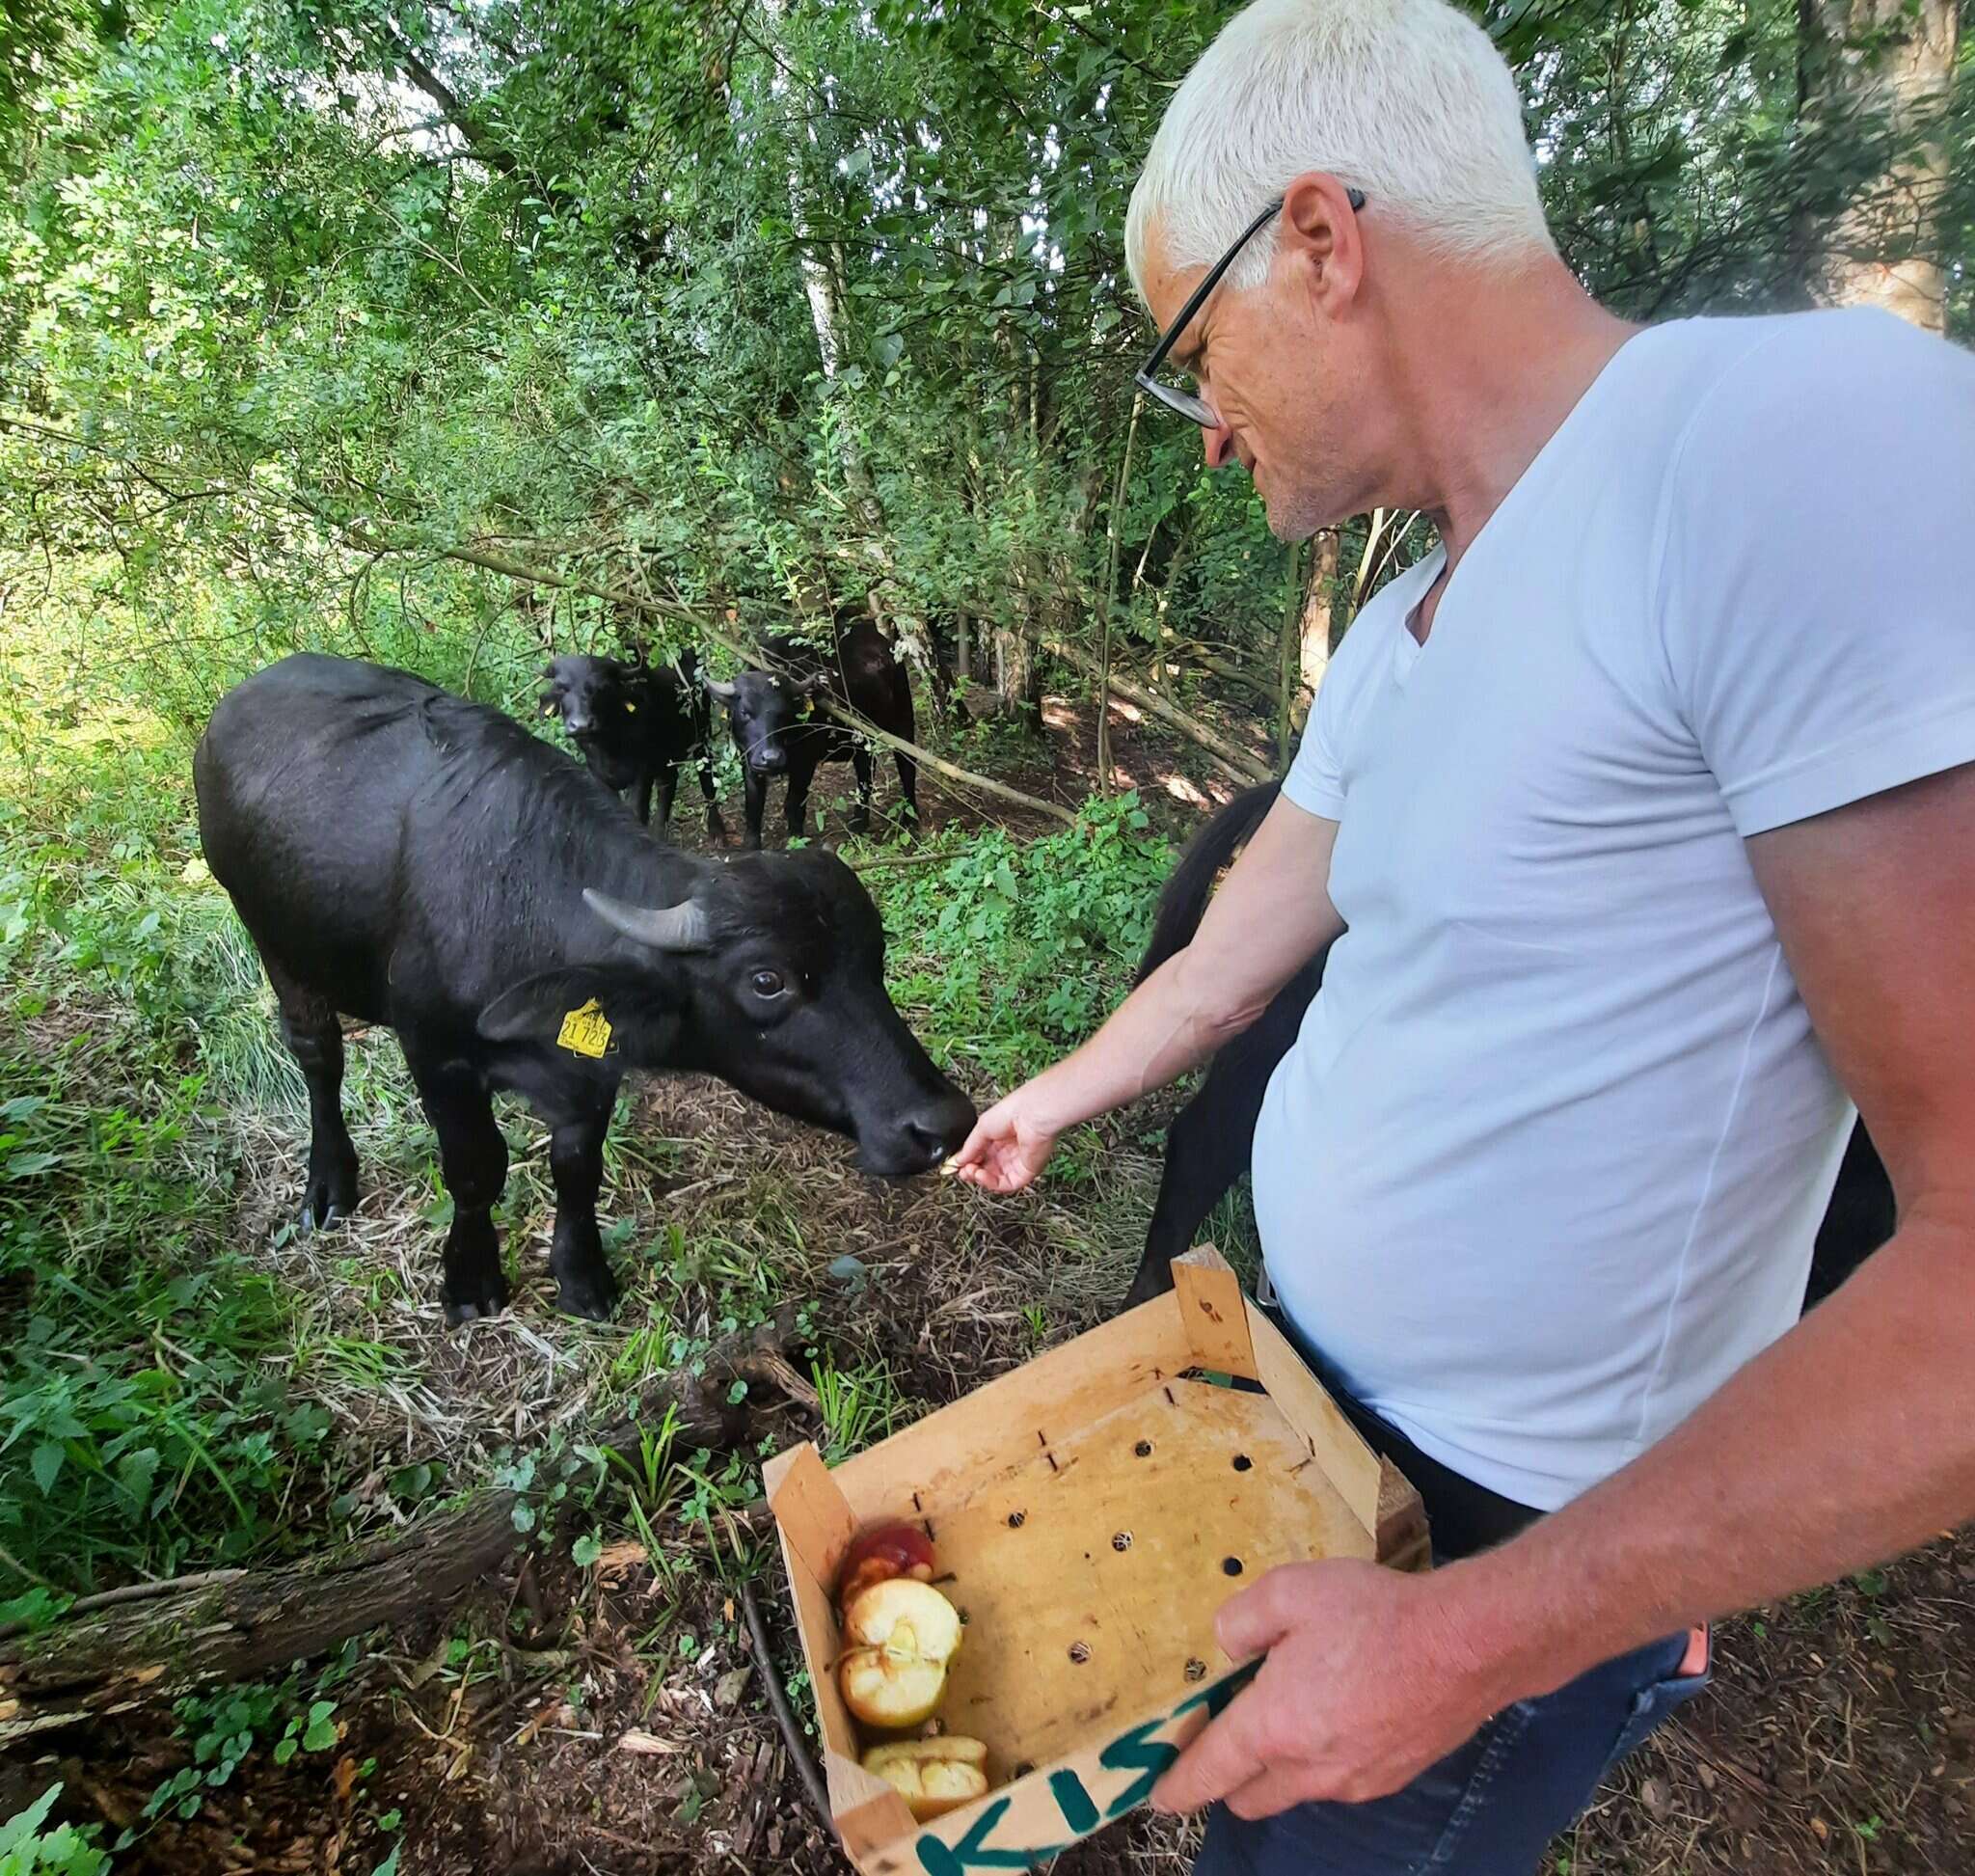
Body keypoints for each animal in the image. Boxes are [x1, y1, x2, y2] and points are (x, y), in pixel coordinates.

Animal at [541, 651, 726, 845]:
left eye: (602, 688)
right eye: (561, 688)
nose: (581, 725)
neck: (608, 747)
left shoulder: (642, 773)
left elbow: (637, 811)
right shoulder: (598, 775)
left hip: (701, 736)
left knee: (706, 777)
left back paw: (717, 831)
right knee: (668, 784)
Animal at [703, 615, 916, 853]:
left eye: (785, 712)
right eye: (744, 712)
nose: (771, 758)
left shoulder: (805, 763)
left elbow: (794, 804)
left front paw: (796, 840)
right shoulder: (748, 761)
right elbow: (753, 806)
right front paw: (751, 845)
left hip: (903, 723)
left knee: (907, 767)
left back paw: (909, 820)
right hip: (862, 742)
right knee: (865, 776)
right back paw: (858, 823)